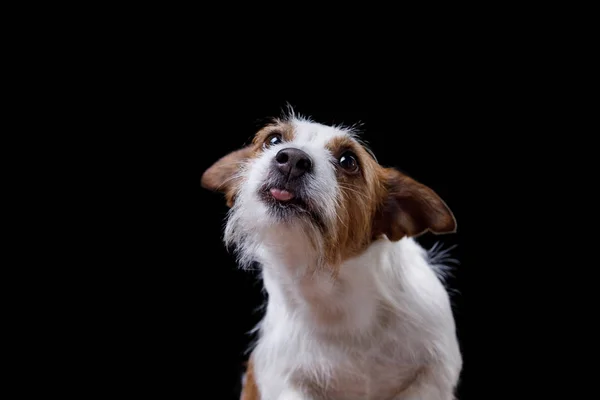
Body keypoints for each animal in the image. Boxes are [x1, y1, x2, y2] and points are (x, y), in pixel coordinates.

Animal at [203, 110, 464, 400]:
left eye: (348, 161)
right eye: (273, 139)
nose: (292, 159)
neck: (331, 293)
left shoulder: (436, 372)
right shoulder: (285, 381)